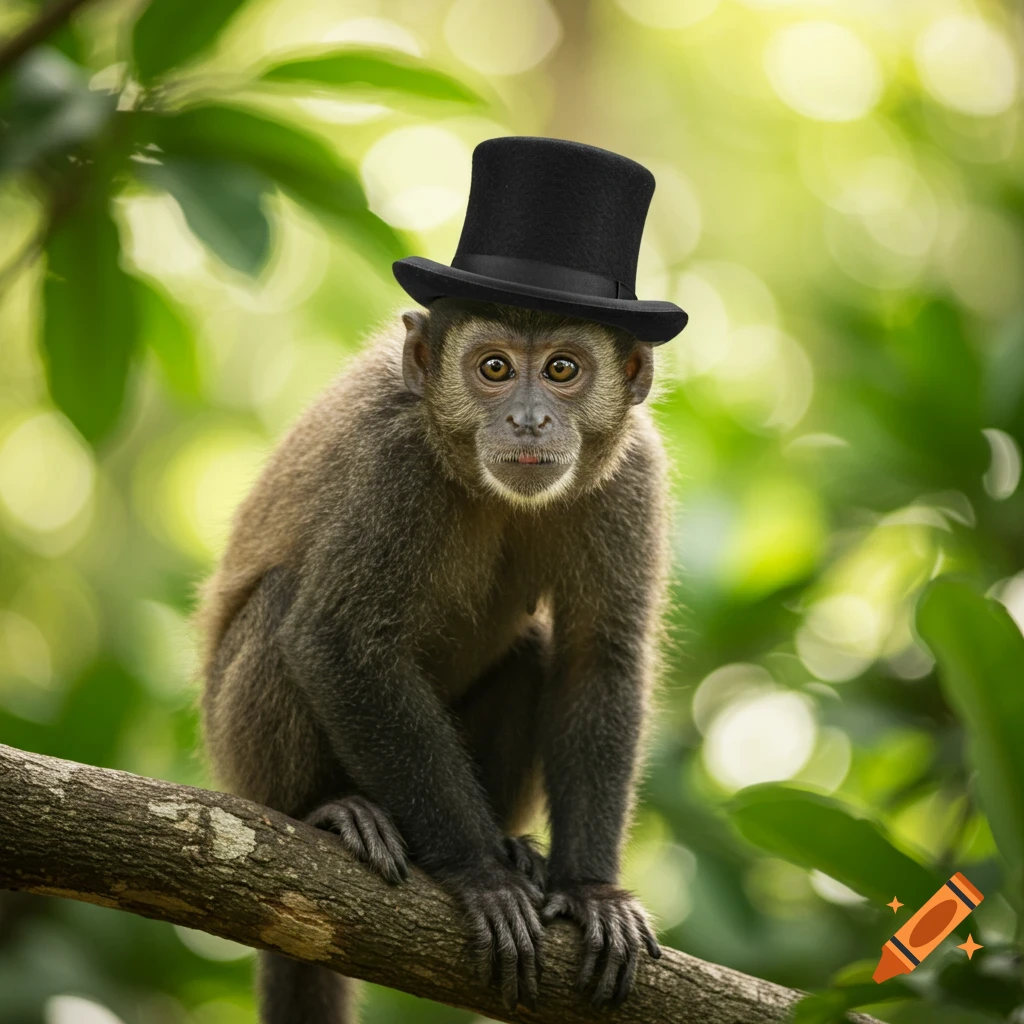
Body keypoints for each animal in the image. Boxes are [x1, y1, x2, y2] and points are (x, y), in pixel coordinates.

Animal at [197, 296, 671, 1024]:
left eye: (563, 369)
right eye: (494, 368)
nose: (528, 419)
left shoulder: (633, 474)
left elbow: (599, 660)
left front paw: (591, 889)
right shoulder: (394, 463)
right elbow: (338, 641)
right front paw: (480, 874)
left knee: (532, 653)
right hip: (238, 757)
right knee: (282, 603)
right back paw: (327, 810)